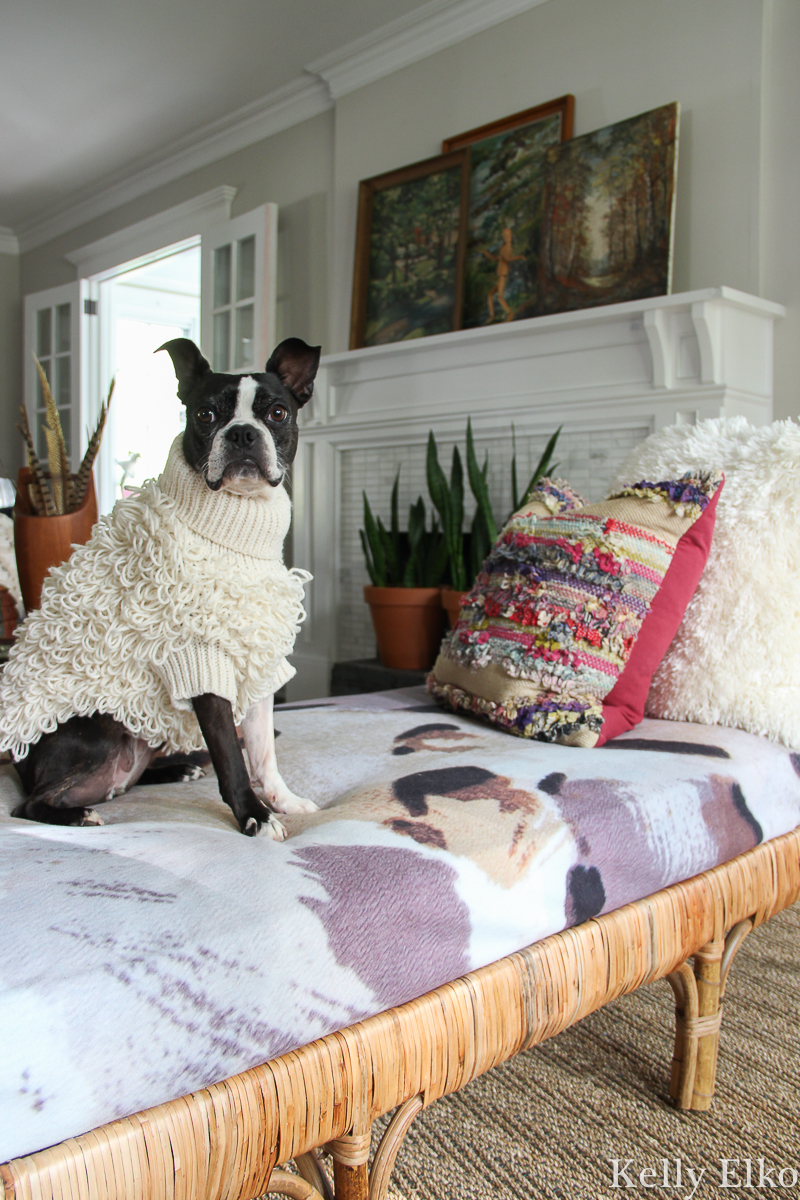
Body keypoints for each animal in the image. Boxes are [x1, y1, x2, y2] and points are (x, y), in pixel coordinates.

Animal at [10, 338, 319, 840]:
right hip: (94, 729)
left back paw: (175, 768)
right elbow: (231, 757)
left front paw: (282, 801)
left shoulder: (257, 655)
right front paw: (253, 816)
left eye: (277, 413)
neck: (232, 530)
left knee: (126, 779)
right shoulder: (201, 664)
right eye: (205, 415)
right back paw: (75, 813)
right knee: (29, 804)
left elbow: (262, 751)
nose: (242, 434)